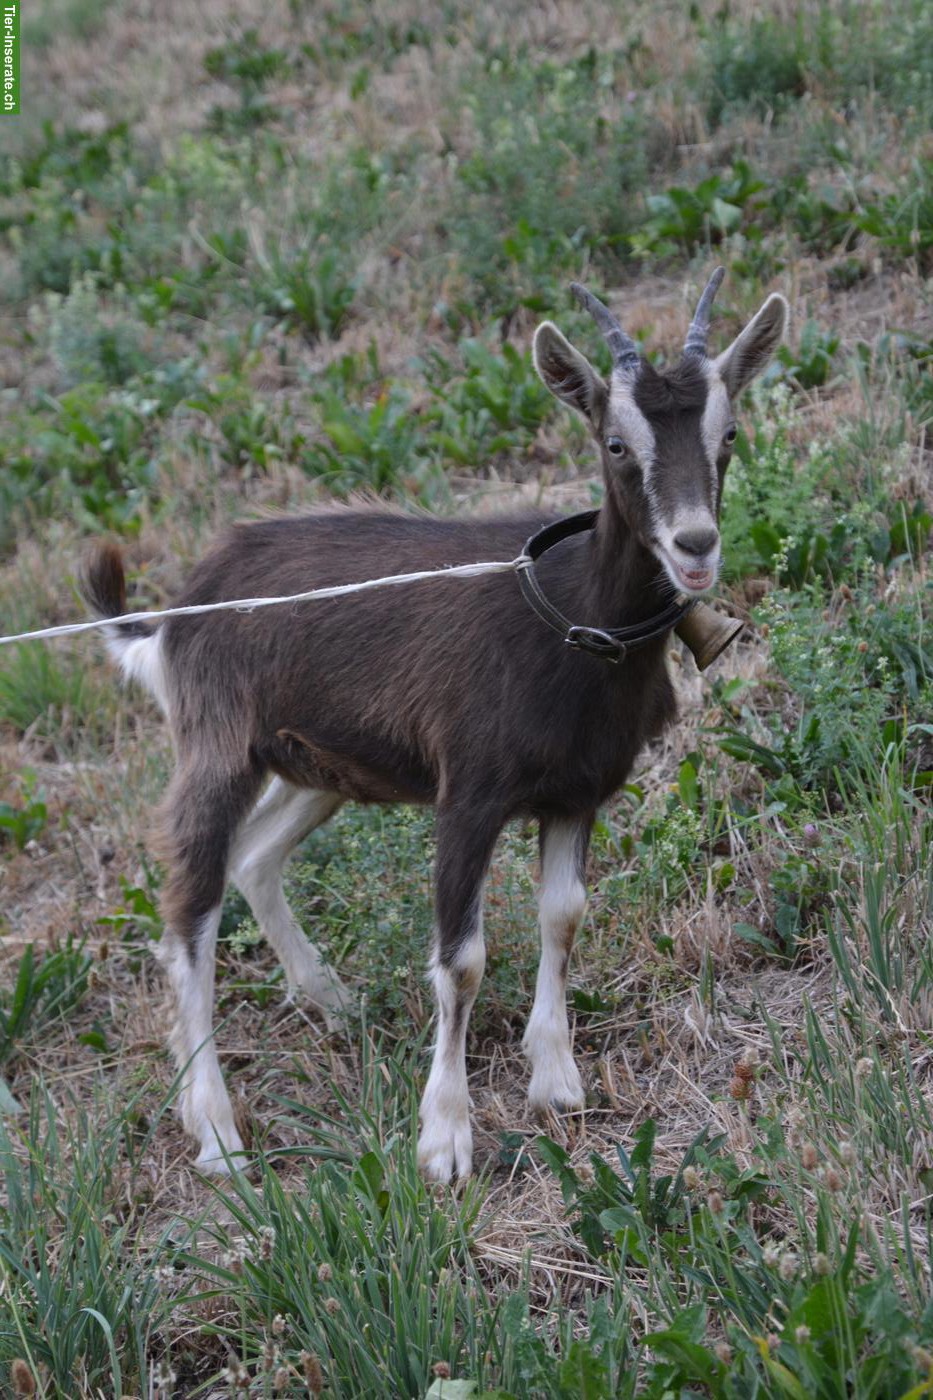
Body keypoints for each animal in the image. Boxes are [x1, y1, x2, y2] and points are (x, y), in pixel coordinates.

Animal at [82, 269, 787, 1182]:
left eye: (727, 433)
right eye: (614, 443)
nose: (694, 544)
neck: (572, 616)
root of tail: (173, 613)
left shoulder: (579, 791)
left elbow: (563, 914)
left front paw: (555, 1078)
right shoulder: (470, 793)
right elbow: (461, 961)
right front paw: (444, 1137)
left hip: (318, 765)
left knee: (255, 857)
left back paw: (331, 999)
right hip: (216, 748)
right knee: (188, 918)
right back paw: (216, 1131)